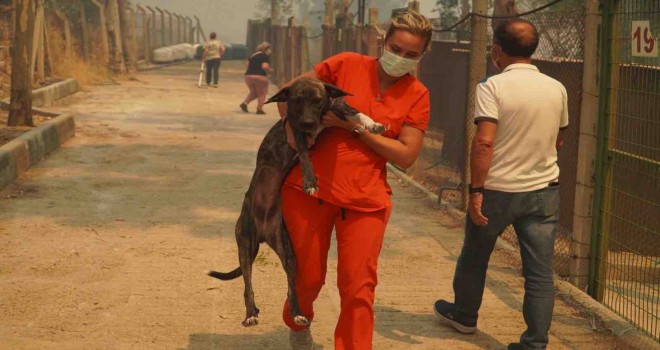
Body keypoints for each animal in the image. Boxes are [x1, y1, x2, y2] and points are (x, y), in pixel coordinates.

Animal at [208, 78, 386, 326]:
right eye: (296, 100)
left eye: (318, 99)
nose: (309, 123)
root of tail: (263, 232)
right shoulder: (296, 130)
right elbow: (304, 156)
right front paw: (310, 182)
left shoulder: (336, 108)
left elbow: (357, 112)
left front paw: (373, 125)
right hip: (245, 246)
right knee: (247, 284)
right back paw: (251, 313)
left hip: (288, 253)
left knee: (292, 287)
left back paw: (297, 314)